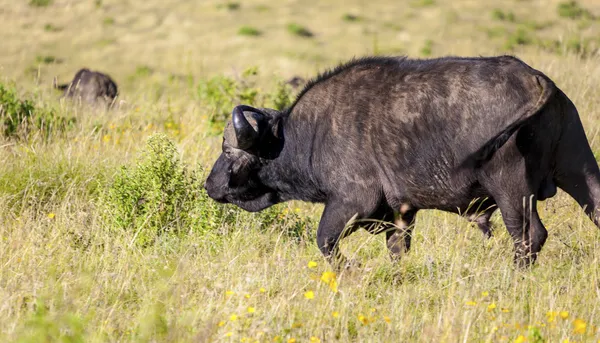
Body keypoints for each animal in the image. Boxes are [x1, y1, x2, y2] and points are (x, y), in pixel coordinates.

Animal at [203, 56, 600, 270]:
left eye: (228, 150)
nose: (209, 185)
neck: (307, 135)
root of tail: (538, 80)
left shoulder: (351, 202)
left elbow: (325, 241)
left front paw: (352, 271)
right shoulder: (400, 215)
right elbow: (397, 250)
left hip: (511, 189)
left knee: (529, 236)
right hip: (580, 168)